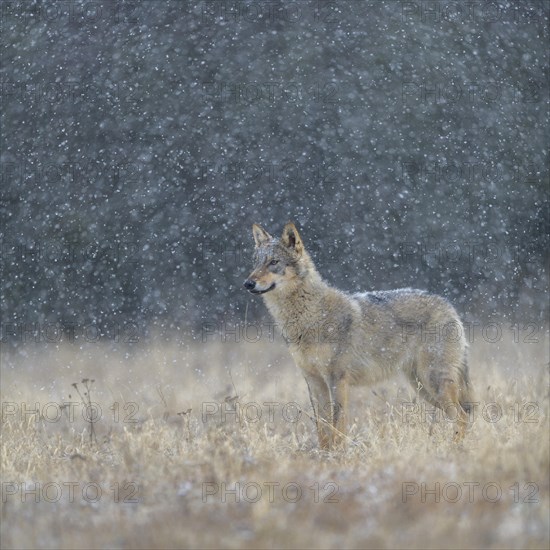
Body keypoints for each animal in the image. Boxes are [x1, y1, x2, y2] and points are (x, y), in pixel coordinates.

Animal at [245, 224, 474, 452]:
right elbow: (323, 428)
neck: (310, 316)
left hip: (433, 382)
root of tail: (449, 305)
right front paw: (323, 455)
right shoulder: (314, 382)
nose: (248, 283)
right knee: (463, 415)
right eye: (256, 262)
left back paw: (454, 450)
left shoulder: (337, 380)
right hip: (423, 387)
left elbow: (338, 427)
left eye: (274, 262)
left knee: (462, 417)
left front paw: (337, 455)